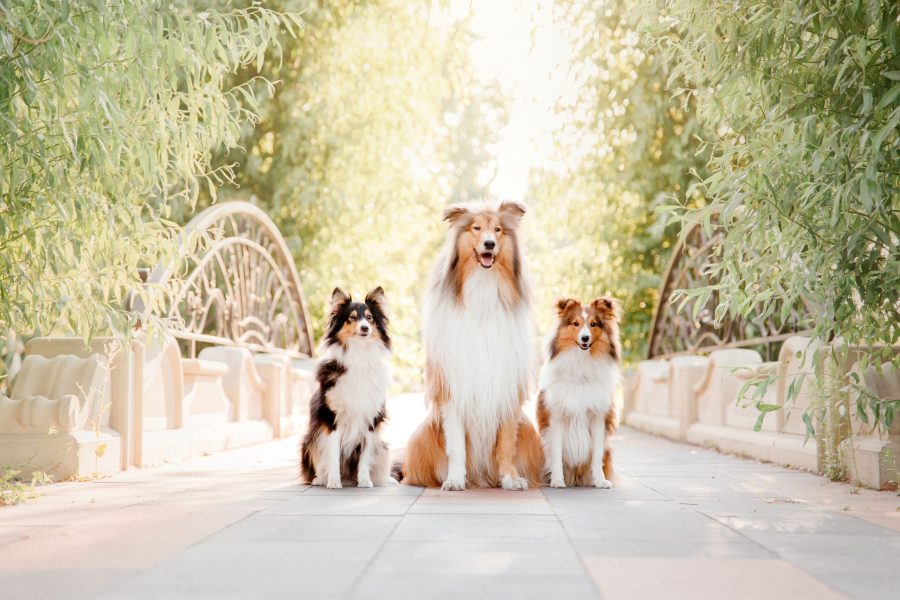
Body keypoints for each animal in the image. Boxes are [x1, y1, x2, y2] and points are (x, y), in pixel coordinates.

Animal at [298, 286, 398, 488]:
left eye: (369, 317)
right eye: (352, 317)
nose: (365, 328)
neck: (359, 354)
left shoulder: (371, 420)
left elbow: (365, 457)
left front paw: (365, 480)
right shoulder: (331, 419)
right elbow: (333, 455)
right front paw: (333, 481)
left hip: (382, 445)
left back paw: (386, 479)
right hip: (310, 439)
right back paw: (320, 479)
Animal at [406, 199, 540, 490]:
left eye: (498, 230)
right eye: (476, 228)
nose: (489, 244)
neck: (483, 287)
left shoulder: (506, 388)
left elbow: (505, 445)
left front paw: (510, 479)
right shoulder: (454, 388)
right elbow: (456, 446)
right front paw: (455, 479)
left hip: (530, 431)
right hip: (422, 434)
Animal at [536, 296, 620, 488]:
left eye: (593, 324)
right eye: (576, 323)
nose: (585, 338)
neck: (581, 364)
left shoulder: (598, 417)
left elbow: (596, 455)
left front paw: (600, 480)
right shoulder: (556, 417)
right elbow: (557, 453)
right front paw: (557, 480)